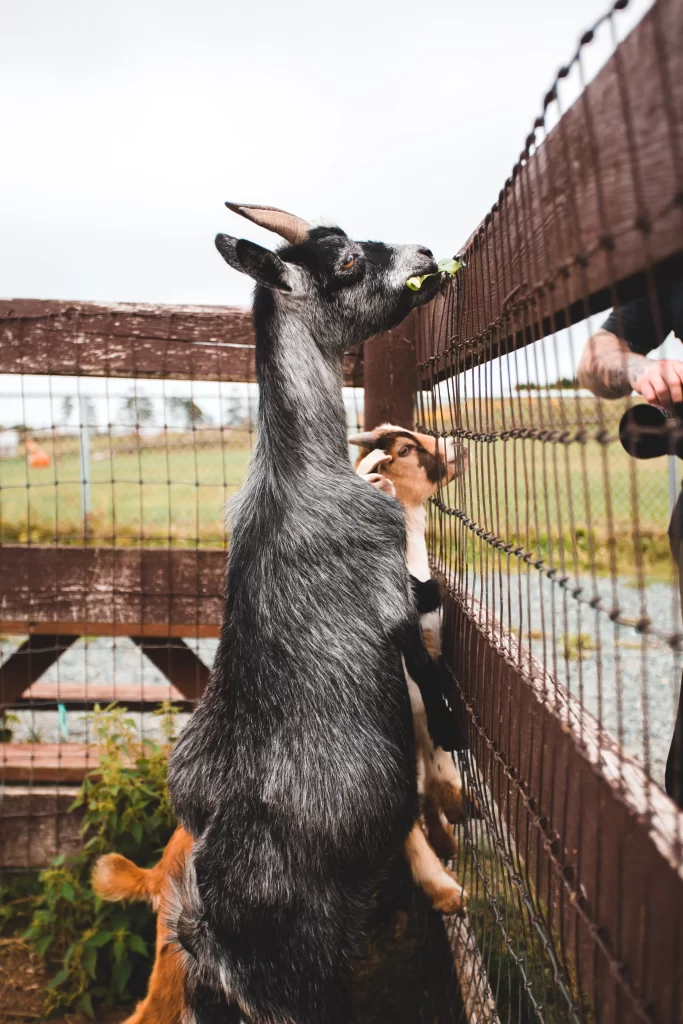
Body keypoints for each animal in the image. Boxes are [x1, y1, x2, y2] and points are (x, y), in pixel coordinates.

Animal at [165, 203, 459, 1023]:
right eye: (350, 262)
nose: (427, 251)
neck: (298, 470)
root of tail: (210, 941)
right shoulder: (392, 590)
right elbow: (425, 641)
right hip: (309, 979)